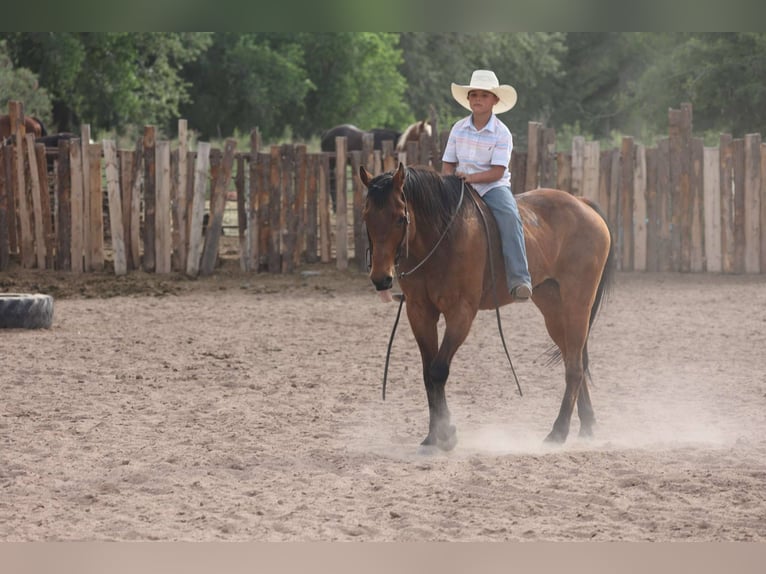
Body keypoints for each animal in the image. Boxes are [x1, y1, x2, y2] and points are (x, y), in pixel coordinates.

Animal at [360, 163, 615, 452]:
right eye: (367, 216)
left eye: (400, 218)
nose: (381, 278)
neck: (441, 237)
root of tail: (583, 204)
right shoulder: (419, 312)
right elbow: (427, 374)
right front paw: (433, 435)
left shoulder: (461, 312)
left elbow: (438, 370)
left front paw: (447, 434)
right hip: (553, 307)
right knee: (575, 358)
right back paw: (587, 425)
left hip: (577, 303)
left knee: (574, 368)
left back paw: (558, 432)